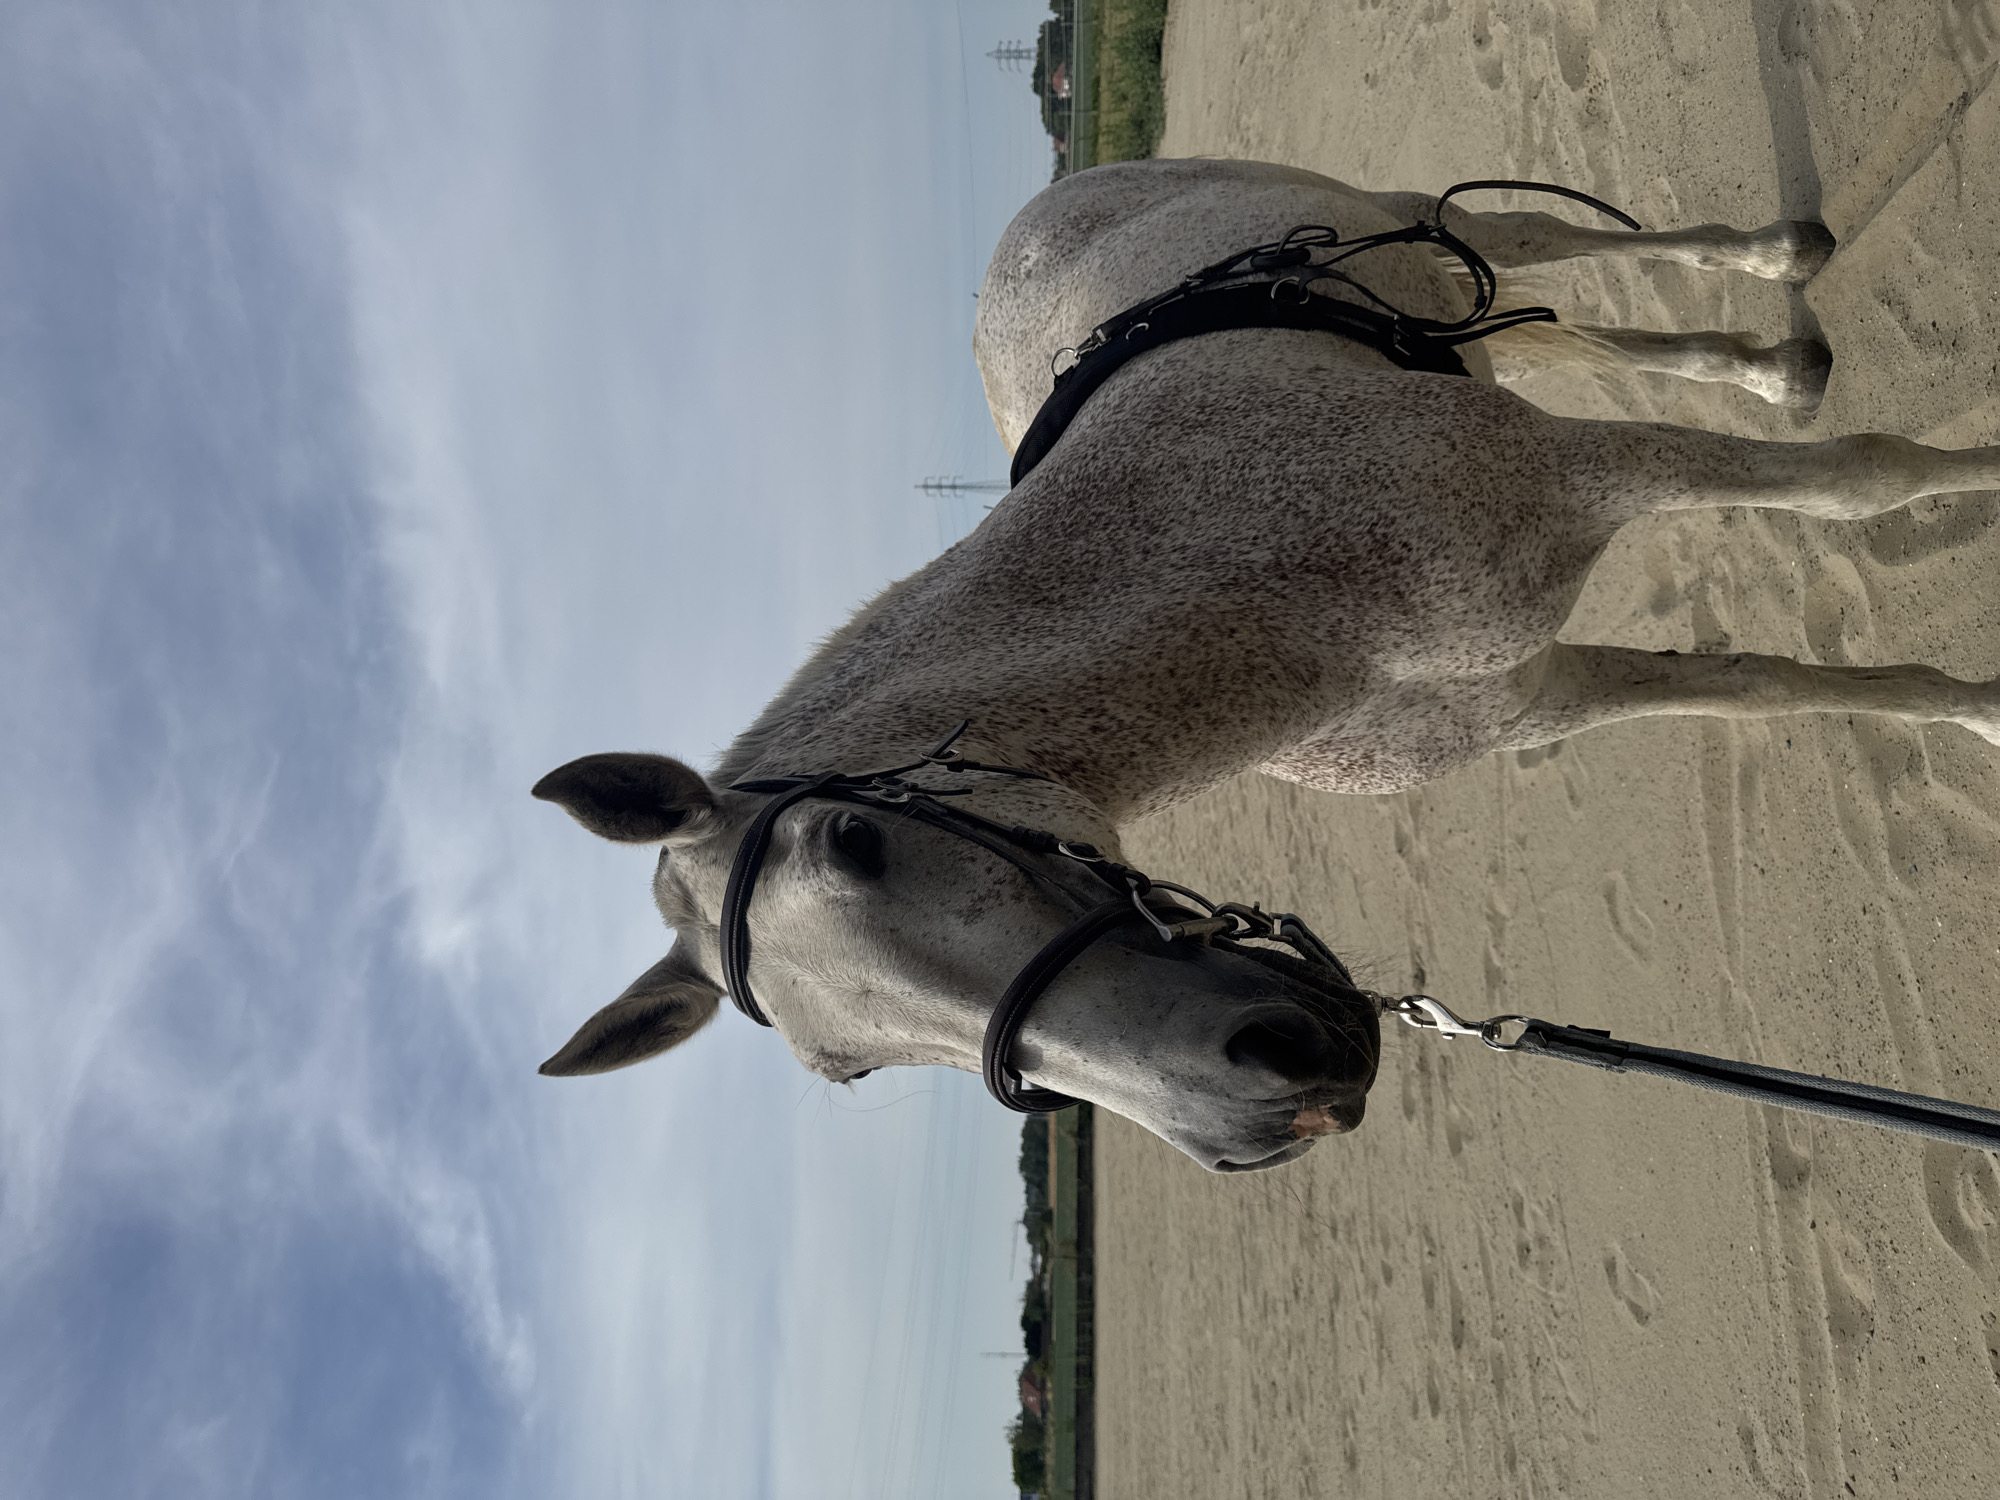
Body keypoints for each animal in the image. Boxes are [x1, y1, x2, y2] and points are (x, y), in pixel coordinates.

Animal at [531, 158, 2000, 1172]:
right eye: (852, 1075)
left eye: (855, 843)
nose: (1262, 1102)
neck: (1242, 583)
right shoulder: (1525, 697)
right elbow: (1755, 684)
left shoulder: (1586, 475)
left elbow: (1865, 484)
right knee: (1560, 331)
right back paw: (1764, 362)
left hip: (1409, 219)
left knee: (1564, 248)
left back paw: (1775, 267)